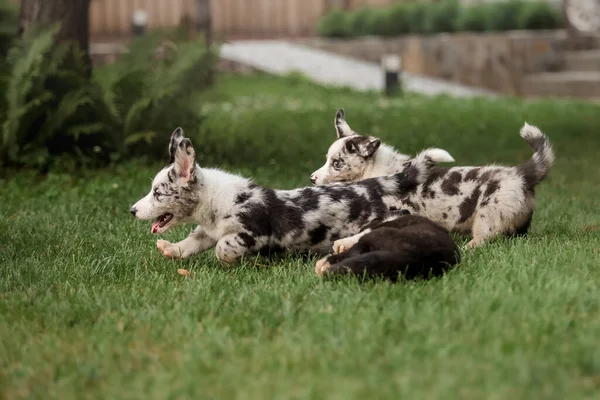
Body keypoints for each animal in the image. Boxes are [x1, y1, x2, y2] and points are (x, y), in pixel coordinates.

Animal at [129, 128, 452, 264]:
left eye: (157, 192)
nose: (132, 210)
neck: (215, 202)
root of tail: (376, 184)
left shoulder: (251, 232)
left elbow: (223, 247)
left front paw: (232, 262)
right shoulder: (207, 231)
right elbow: (191, 242)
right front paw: (170, 249)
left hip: (385, 218)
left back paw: (343, 244)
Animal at [312, 108, 556, 247]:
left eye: (337, 163)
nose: (312, 179)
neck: (377, 169)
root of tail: (521, 173)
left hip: (487, 217)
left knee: (483, 239)